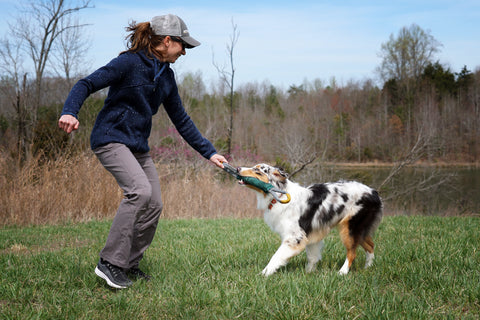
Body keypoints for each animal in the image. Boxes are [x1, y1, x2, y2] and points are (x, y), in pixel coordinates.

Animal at [236, 164, 382, 276]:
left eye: (258, 170)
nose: (237, 168)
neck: (279, 195)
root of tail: (374, 192)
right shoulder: (312, 234)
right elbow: (312, 257)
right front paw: (308, 273)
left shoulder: (294, 237)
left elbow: (276, 256)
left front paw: (264, 273)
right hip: (360, 230)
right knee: (371, 246)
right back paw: (367, 268)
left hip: (349, 229)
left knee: (352, 253)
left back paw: (342, 272)